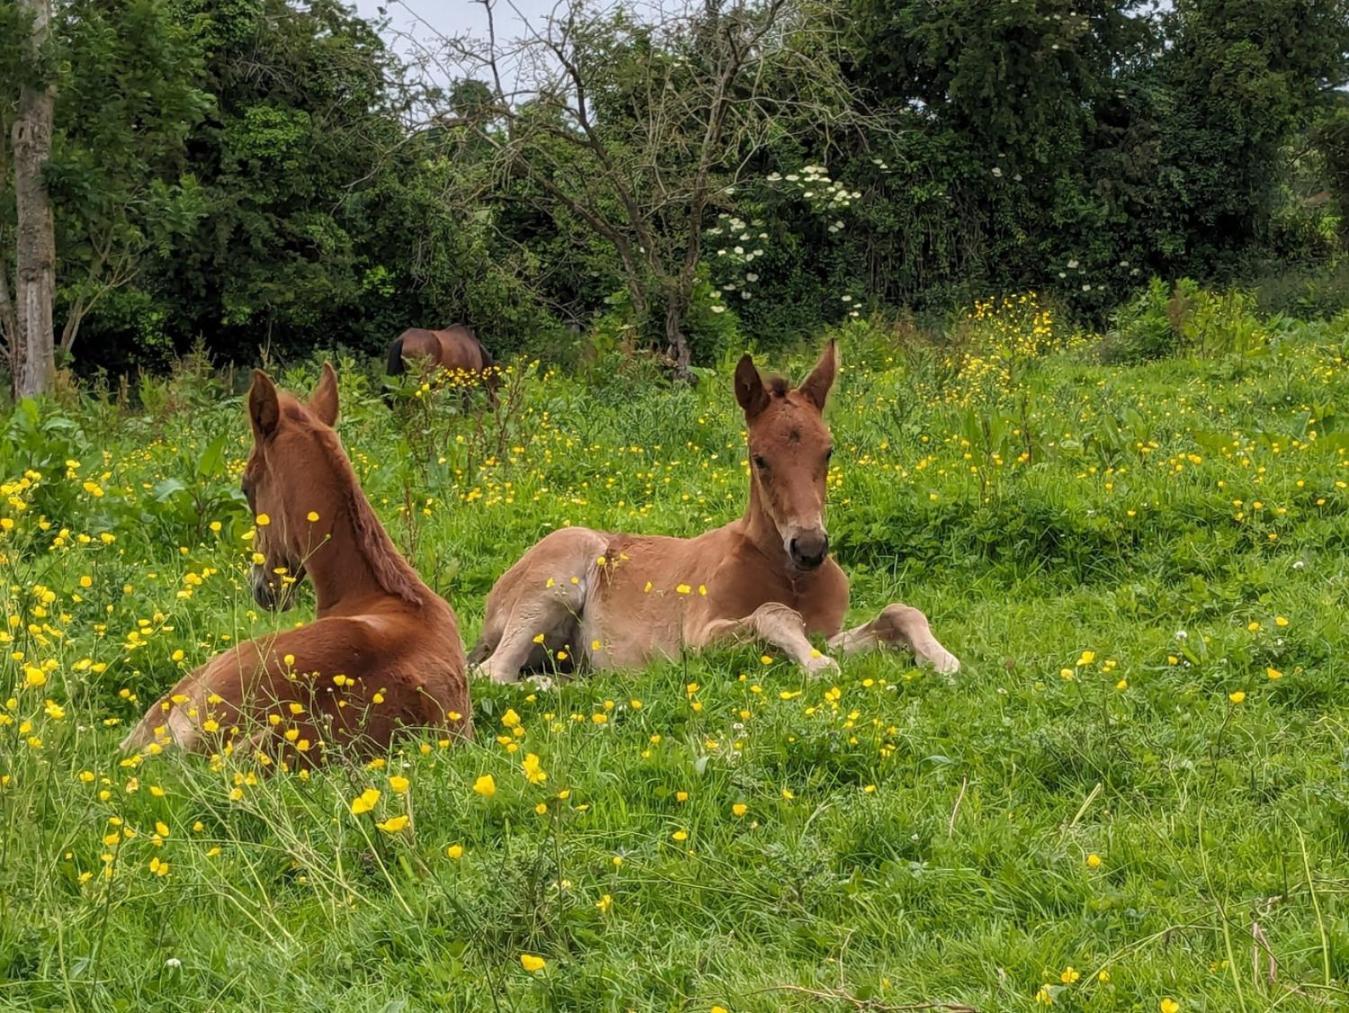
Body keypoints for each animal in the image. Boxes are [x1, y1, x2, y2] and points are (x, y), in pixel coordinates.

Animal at [474, 341, 960, 682]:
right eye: (760, 458)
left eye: (828, 451)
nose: (809, 548)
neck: (789, 576)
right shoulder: (701, 638)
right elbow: (773, 614)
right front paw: (818, 666)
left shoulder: (831, 634)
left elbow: (899, 611)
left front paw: (943, 659)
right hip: (555, 580)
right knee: (491, 672)